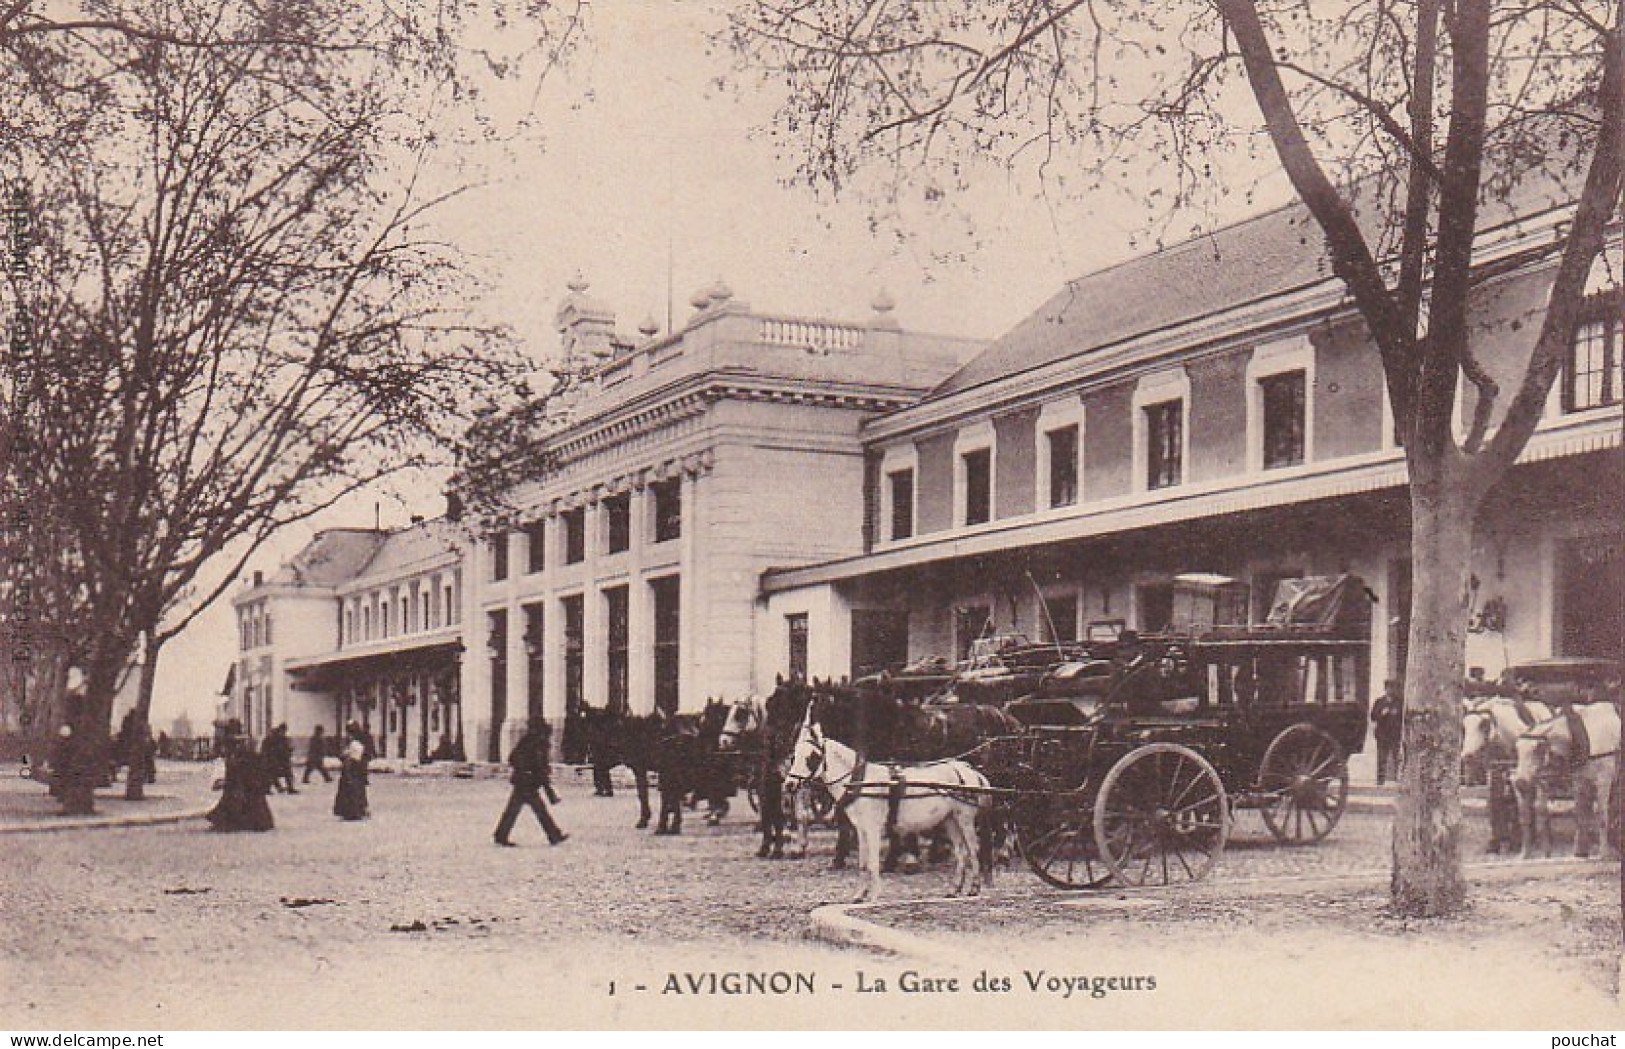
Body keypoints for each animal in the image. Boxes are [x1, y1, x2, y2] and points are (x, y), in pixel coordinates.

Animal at [786, 714, 988, 902]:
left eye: (812, 757)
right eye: (794, 755)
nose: (789, 784)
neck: (860, 781)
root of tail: (967, 770)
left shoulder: (873, 828)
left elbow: (873, 862)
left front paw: (874, 895)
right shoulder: (861, 829)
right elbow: (863, 862)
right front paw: (859, 895)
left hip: (965, 819)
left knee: (973, 849)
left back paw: (974, 888)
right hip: (951, 820)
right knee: (961, 852)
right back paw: (955, 889)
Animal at [1508, 707, 1612, 863]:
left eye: (1538, 748)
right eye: (1517, 748)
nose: (1520, 782)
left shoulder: (1604, 779)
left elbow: (1601, 814)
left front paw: (1604, 853)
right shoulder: (1580, 781)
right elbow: (1580, 812)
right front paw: (1579, 852)